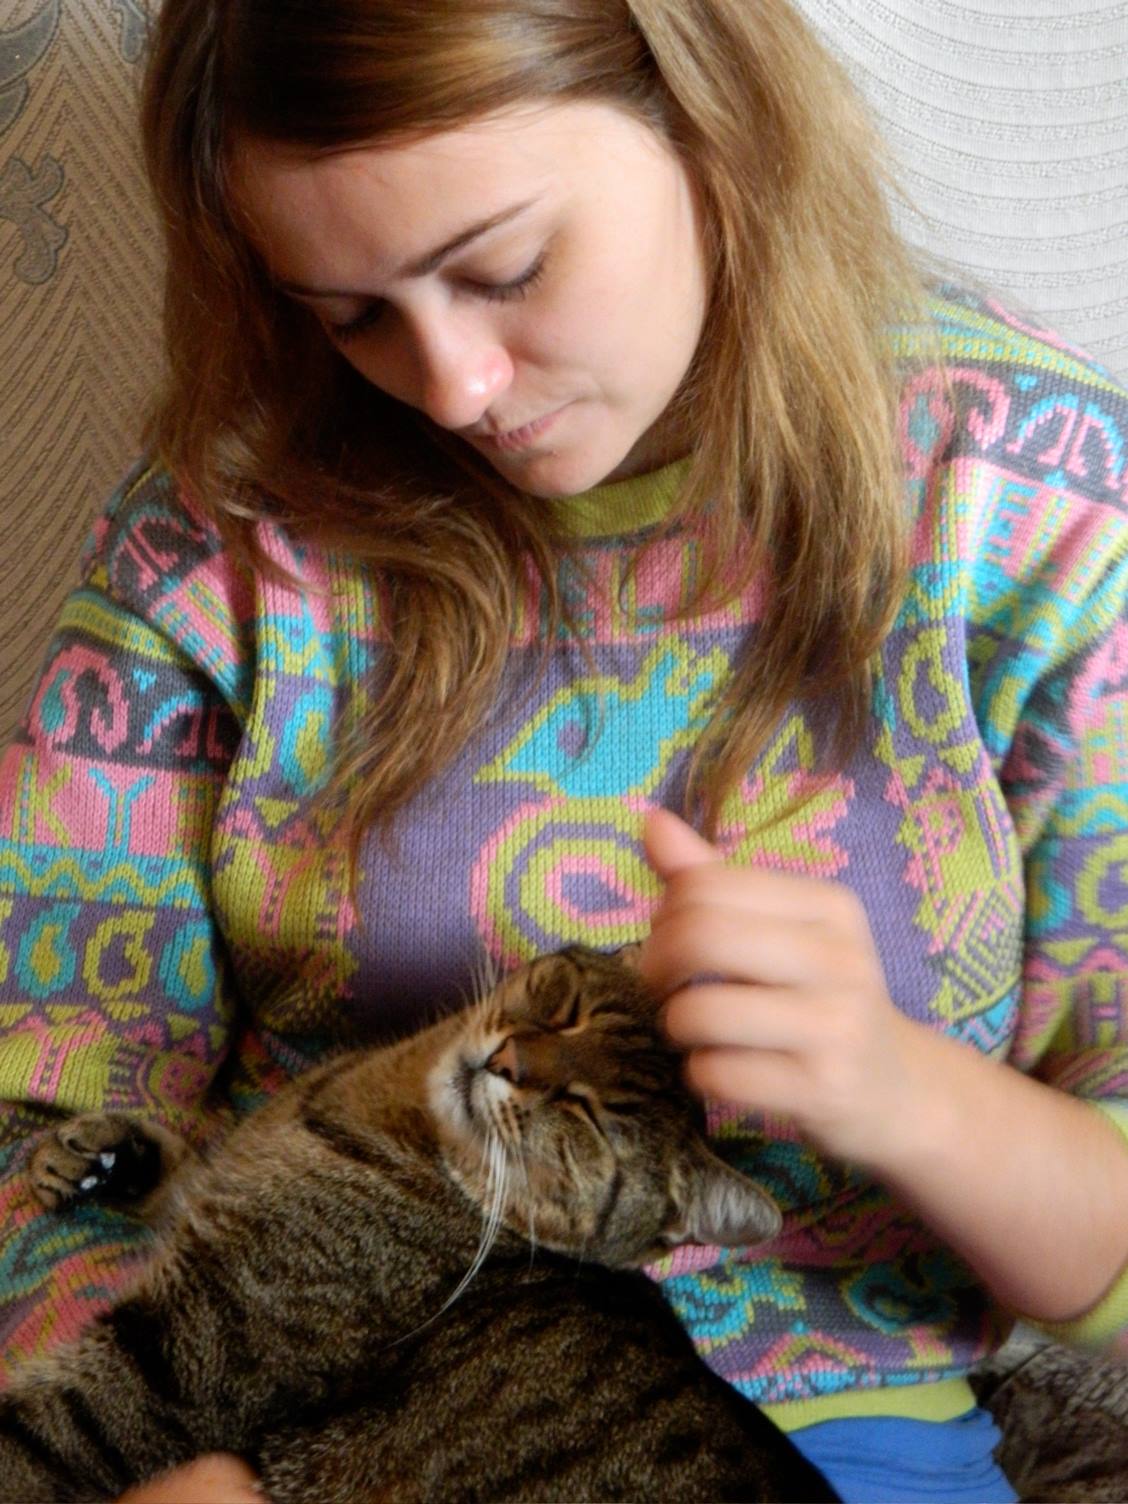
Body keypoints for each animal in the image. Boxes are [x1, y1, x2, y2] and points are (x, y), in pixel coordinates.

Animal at [2, 944, 838, 1503]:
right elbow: (187, 1167)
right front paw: (99, 1155)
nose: (510, 1061)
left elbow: (35, 1438)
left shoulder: (187, 1357)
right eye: (565, 1009)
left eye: (591, 1120)